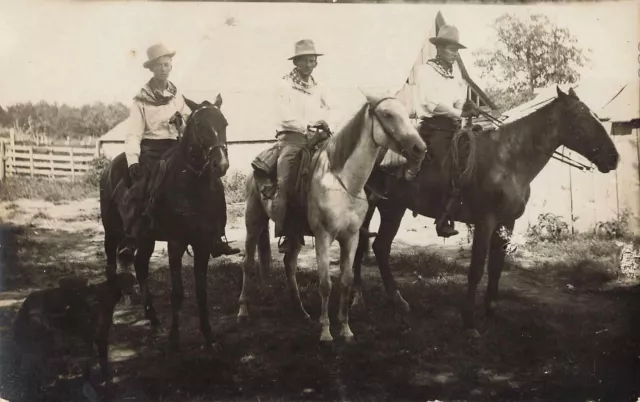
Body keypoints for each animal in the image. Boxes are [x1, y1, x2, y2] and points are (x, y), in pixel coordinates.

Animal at [100, 96, 230, 350]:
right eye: (199, 125)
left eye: (224, 123)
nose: (220, 164)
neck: (191, 186)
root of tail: (109, 166)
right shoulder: (176, 243)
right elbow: (177, 293)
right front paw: (174, 339)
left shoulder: (202, 244)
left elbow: (201, 292)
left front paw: (209, 336)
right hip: (112, 232)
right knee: (111, 264)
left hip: (145, 238)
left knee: (140, 267)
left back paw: (153, 318)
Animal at [352, 87, 616, 336]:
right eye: (579, 116)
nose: (613, 158)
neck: (508, 160)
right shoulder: (485, 221)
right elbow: (477, 269)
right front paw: (469, 322)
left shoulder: (506, 222)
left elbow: (496, 267)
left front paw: (491, 311)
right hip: (382, 207)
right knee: (370, 244)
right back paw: (373, 298)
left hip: (387, 207)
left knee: (374, 246)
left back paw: (381, 298)